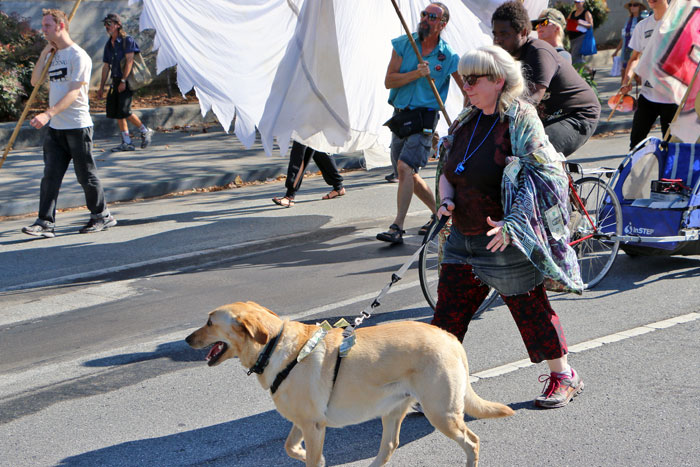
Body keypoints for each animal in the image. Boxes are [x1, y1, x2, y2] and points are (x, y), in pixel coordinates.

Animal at [186, 302, 516, 466]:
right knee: (390, 446)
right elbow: (290, 447)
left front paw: (314, 459)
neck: (274, 345)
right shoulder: (304, 422)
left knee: (471, 442)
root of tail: (449, 337)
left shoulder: (314, 427)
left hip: (442, 413)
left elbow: (309, 458)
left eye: (210, 322)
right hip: (393, 409)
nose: (187, 339)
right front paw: (307, 455)